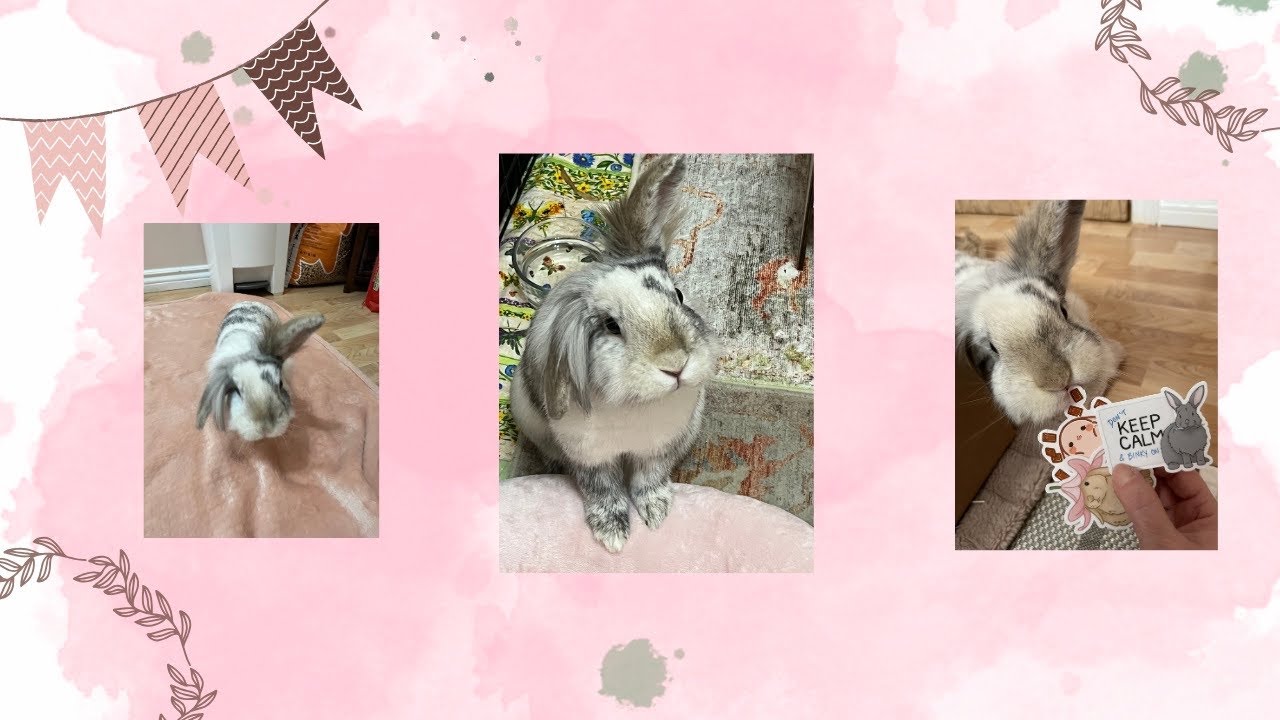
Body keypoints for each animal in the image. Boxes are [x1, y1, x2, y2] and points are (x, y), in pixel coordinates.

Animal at [510, 154, 718, 553]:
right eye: (610, 326)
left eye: (679, 295)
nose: (675, 365)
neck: (638, 404)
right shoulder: (589, 455)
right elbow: (602, 489)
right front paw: (613, 535)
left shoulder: (658, 449)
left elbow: (648, 480)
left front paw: (656, 513)